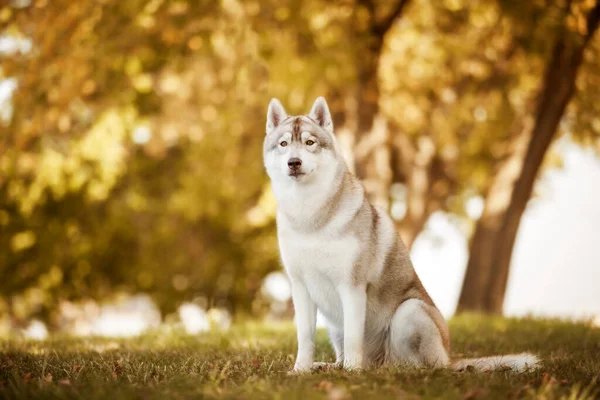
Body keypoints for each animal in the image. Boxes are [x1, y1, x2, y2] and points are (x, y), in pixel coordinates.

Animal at [262, 98, 540, 374]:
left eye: (310, 143)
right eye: (284, 144)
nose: (294, 162)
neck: (309, 216)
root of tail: (450, 357)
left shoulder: (352, 287)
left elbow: (353, 337)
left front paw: (352, 373)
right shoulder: (300, 287)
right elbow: (305, 337)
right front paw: (301, 370)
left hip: (409, 312)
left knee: (418, 365)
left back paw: (386, 369)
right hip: (335, 326)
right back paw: (328, 366)